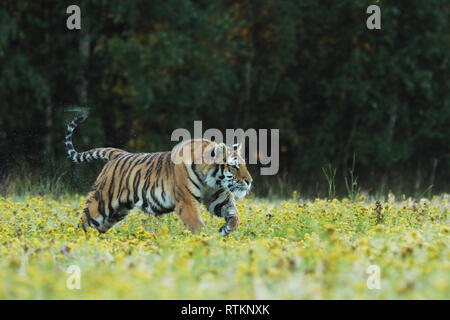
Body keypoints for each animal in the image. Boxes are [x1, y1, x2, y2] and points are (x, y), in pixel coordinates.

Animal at [65, 115, 253, 235]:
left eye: (243, 164)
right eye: (234, 166)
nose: (249, 181)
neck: (211, 181)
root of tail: (118, 154)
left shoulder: (218, 198)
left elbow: (235, 216)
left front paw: (225, 230)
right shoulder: (186, 202)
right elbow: (198, 225)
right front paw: (207, 242)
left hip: (117, 212)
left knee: (98, 230)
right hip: (100, 203)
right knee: (83, 223)